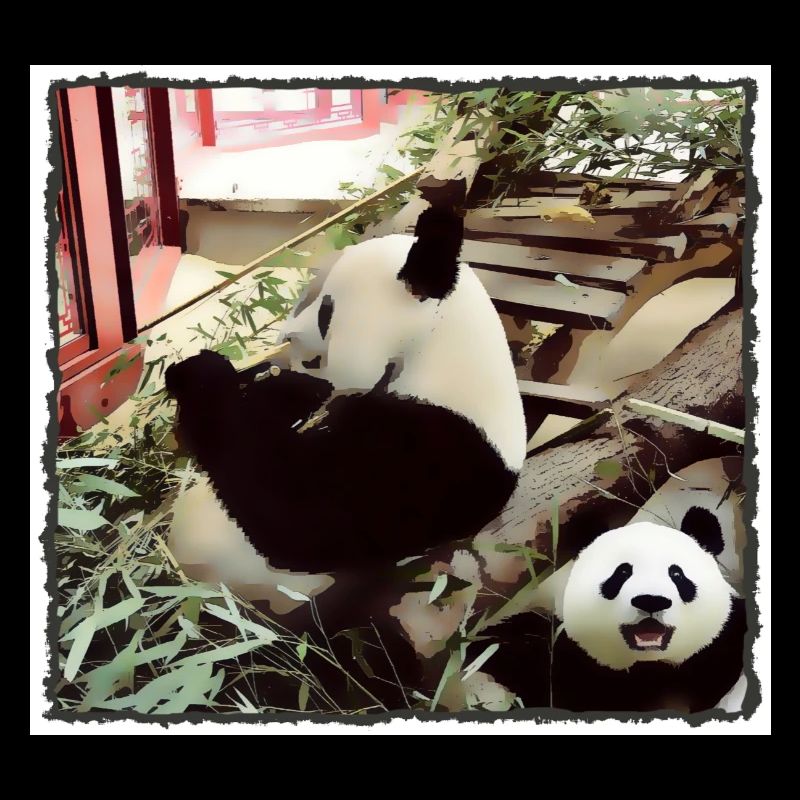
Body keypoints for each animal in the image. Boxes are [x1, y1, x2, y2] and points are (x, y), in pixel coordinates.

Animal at [164, 204, 527, 627]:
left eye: (326, 313)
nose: (286, 336)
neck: (439, 348)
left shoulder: (434, 454)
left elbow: (296, 517)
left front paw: (199, 376)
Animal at [485, 507, 747, 714]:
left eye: (676, 574)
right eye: (622, 572)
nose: (651, 601)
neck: (650, 665)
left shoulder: (721, 642)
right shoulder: (569, 658)